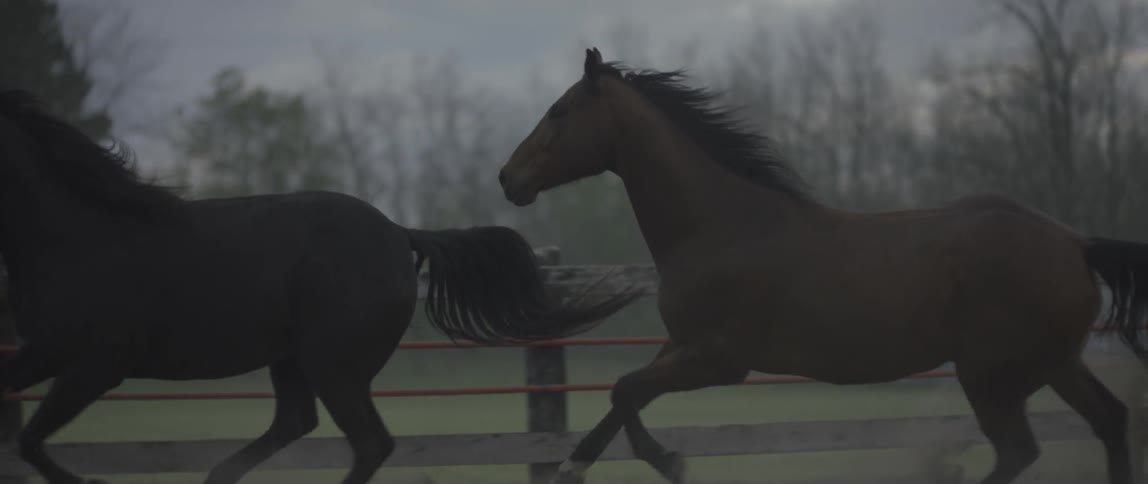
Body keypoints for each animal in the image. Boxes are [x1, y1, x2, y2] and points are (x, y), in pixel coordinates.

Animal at [0, 89, 640, 484]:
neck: (81, 233)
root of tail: (398, 231)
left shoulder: (95, 363)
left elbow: (30, 441)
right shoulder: (44, 352)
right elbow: (21, 428)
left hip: (334, 365)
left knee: (368, 443)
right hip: (295, 360)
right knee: (296, 424)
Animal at [498, 48, 1148, 484]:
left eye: (559, 111)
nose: (508, 178)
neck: (720, 226)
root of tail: (1075, 242)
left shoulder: (718, 359)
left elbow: (626, 390)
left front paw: (670, 460)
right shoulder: (680, 346)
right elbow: (618, 400)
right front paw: (573, 466)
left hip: (991, 373)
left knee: (1019, 451)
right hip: (1055, 361)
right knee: (1110, 421)